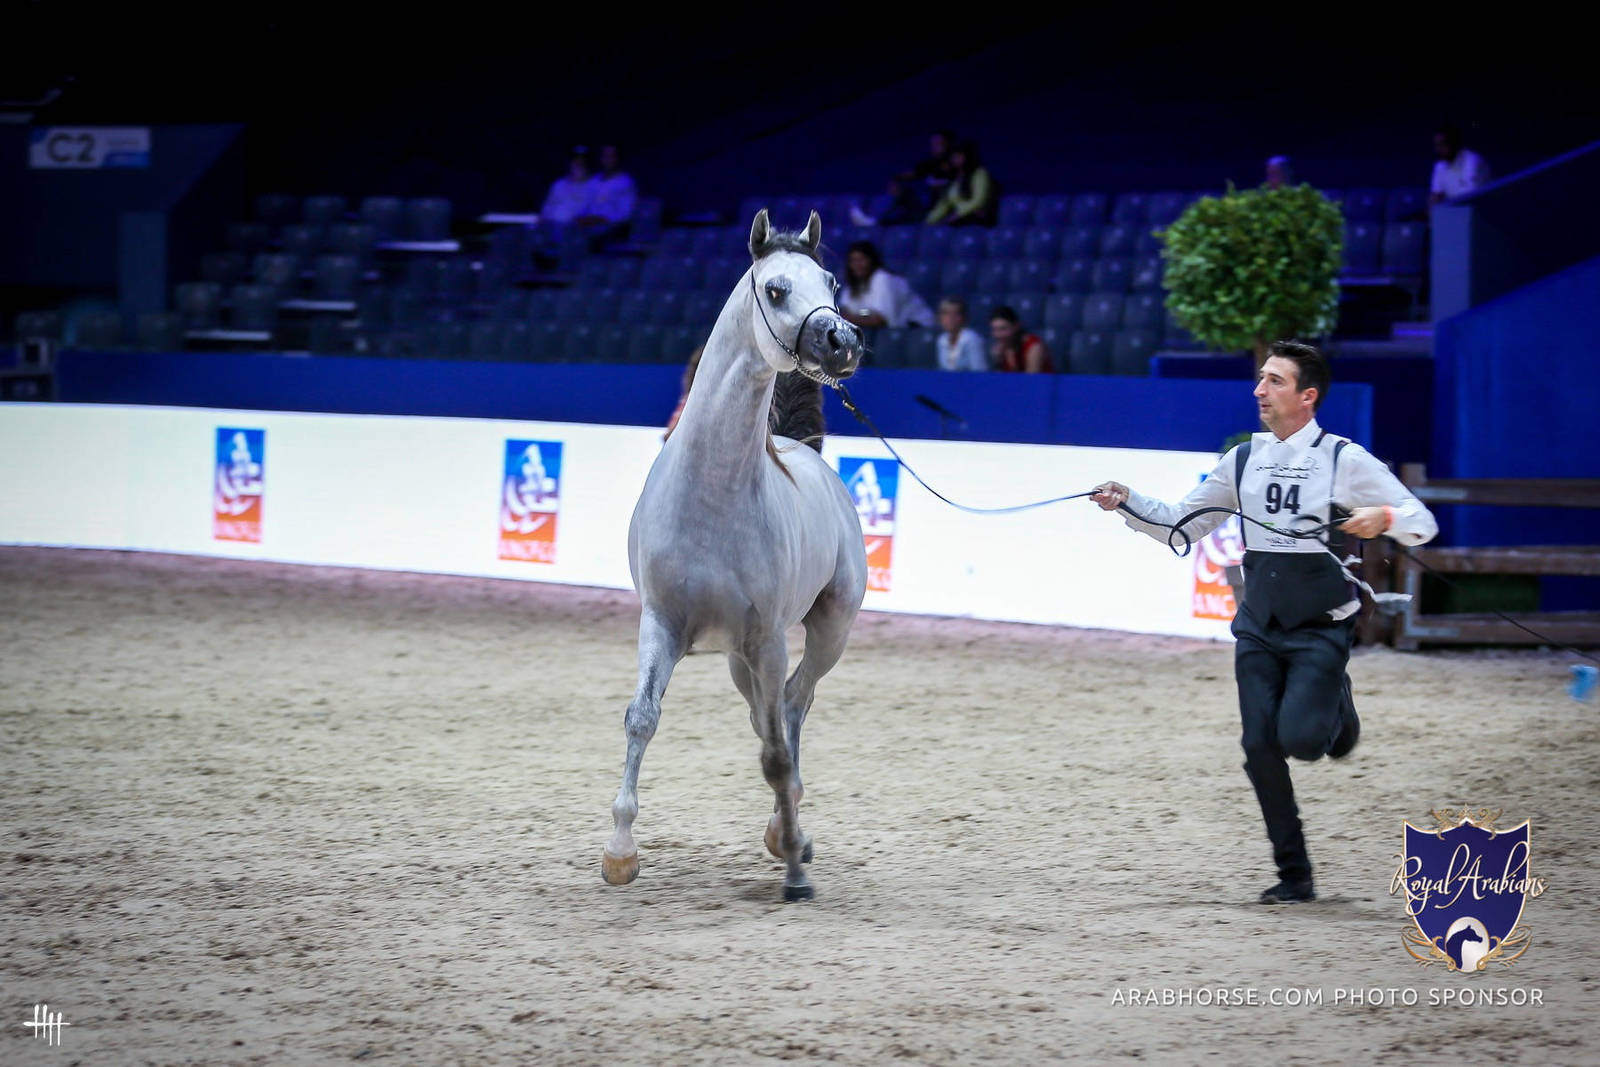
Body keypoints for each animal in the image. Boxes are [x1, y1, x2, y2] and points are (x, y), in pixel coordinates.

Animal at [603, 209, 868, 901]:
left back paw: (789, 834)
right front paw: (620, 854)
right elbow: (642, 719)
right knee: (766, 716)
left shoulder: (769, 638)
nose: (843, 343)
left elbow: (776, 752)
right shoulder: (661, 623)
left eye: (833, 282)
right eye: (775, 289)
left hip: (827, 631)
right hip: (735, 659)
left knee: (794, 708)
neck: (713, 497)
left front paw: (796, 872)